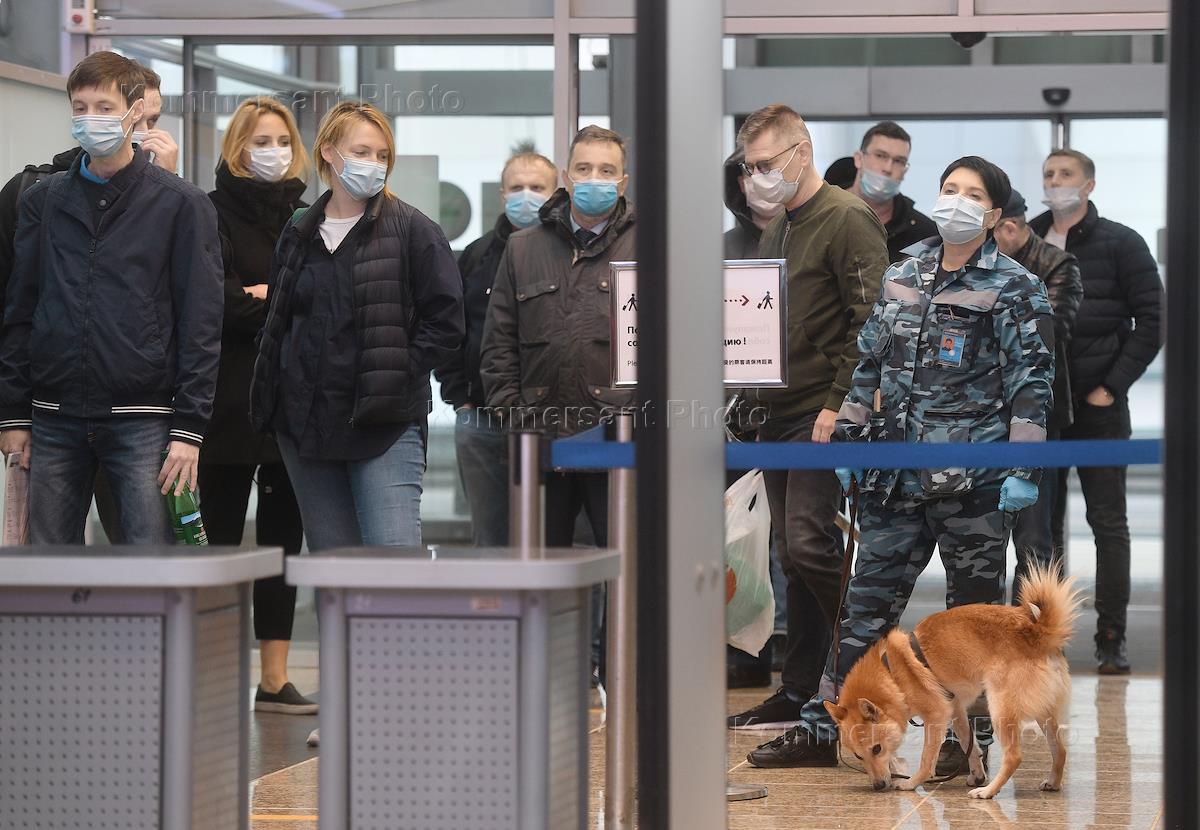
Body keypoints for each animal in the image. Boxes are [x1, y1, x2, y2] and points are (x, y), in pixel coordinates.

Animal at [824, 563, 1081, 798]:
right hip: (1043, 711)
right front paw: (977, 773)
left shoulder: (936, 715)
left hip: (1001, 708)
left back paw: (988, 791)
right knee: (1060, 750)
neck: (892, 674)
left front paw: (912, 783)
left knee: (1014, 757)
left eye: (877, 749)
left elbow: (927, 758)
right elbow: (970, 744)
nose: (878, 785)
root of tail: (1037, 632)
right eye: (858, 755)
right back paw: (1052, 782)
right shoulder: (955, 709)